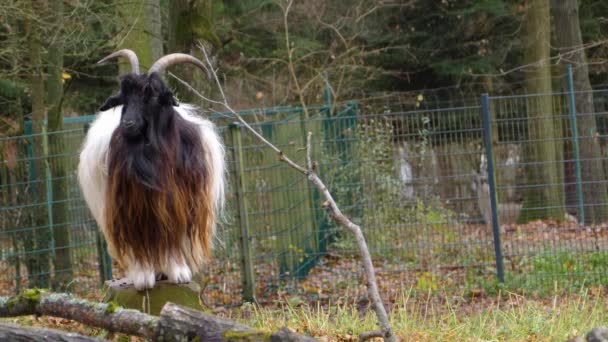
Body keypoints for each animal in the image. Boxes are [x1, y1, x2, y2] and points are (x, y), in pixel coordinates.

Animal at [78, 49, 226, 290]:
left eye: (154, 97)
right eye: (124, 99)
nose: (128, 124)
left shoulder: (179, 202)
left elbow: (173, 234)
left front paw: (177, 272)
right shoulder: (128, 205)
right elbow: (137, 238)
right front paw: (143, 276)